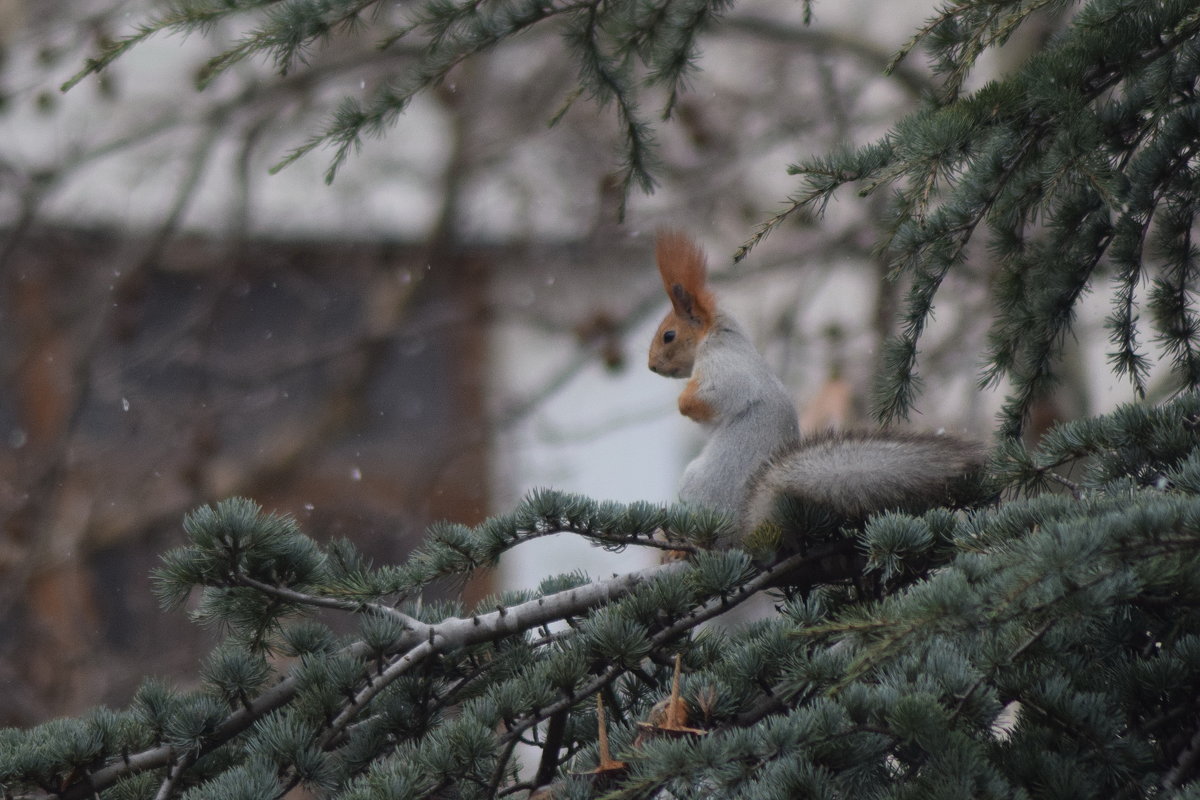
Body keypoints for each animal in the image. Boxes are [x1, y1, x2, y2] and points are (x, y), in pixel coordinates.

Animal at [648, 227, 984, 546]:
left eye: (668, 336)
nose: (651, 366)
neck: (721, 333)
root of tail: (746, 530)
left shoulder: (722, 363)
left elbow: (717, 395)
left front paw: (683, 403)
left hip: (695, 483)